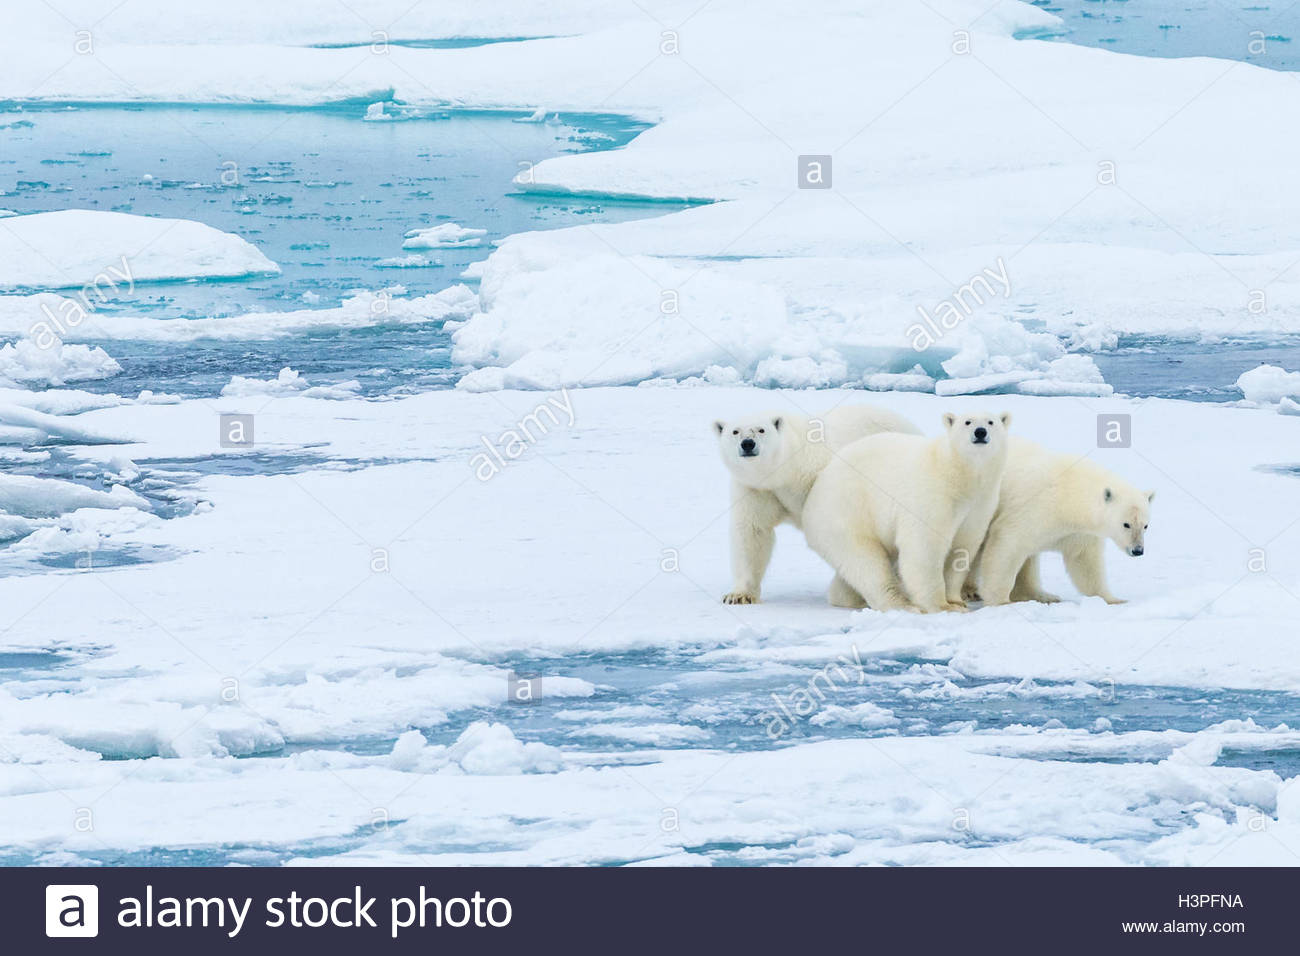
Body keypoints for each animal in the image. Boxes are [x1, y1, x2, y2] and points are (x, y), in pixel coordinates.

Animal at [713, 404, 920, 604]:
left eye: (761, 429)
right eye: (735, 431)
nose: (748, 444)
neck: (787, 471)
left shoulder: (820, 478)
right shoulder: (757, 490)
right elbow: (752, 531)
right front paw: (739, 595)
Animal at [802, 411, 1012, 613]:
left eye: (991, 422)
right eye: (967, 422)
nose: (980, 432)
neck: (958, 474)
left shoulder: (979, 505)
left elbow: (962, 547)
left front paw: (956, 601)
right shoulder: (932, 496)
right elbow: (924, 547)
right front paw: (941, 606)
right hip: (848, 511)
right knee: (866, 561)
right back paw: (901, 604)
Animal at [968, 437, 1154, 606]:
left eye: (1146, 525)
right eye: (1126, 524)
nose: (1138, 550)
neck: (1068, 493)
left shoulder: (1078, 532)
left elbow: (1085, 561)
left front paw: (1113, 599)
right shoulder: (1033, 509)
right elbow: (1008, 545)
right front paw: (1000, 601)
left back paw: (1044, 595)